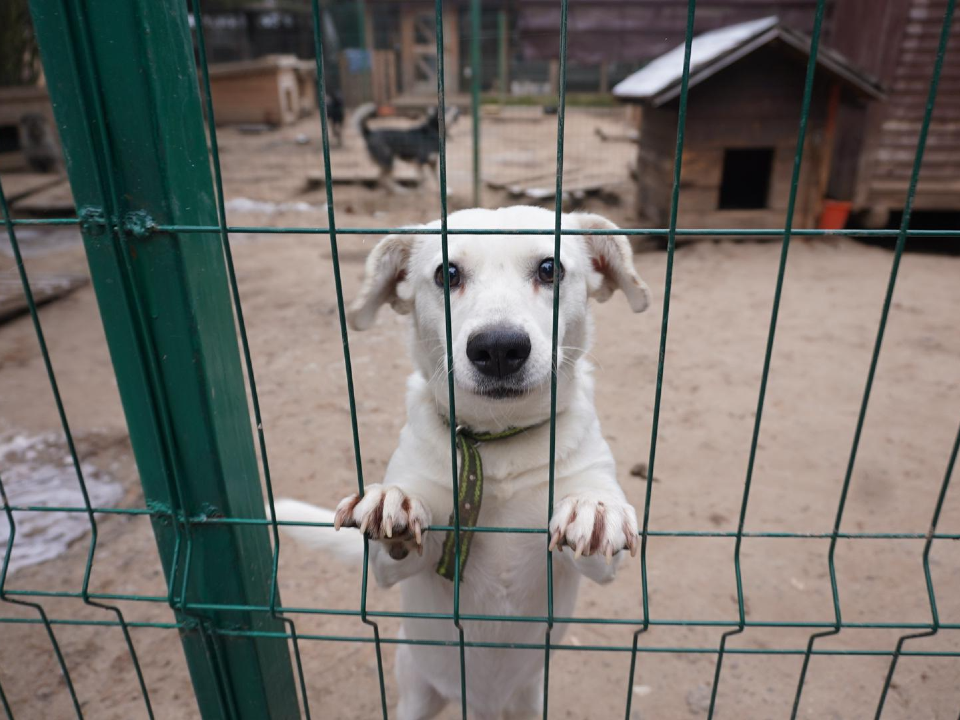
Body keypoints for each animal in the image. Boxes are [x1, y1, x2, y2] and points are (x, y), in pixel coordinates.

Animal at [278, 204, 652, 720]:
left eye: (549, 268)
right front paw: (393, 501)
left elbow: (593, 508)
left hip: (530, 699)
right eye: (447, 273)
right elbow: (399, 519)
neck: (497, 446)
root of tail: (482, 704)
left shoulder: (598, 565)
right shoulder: (388, 569)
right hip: (416, 690)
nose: (498, 347)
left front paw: (593, 509)